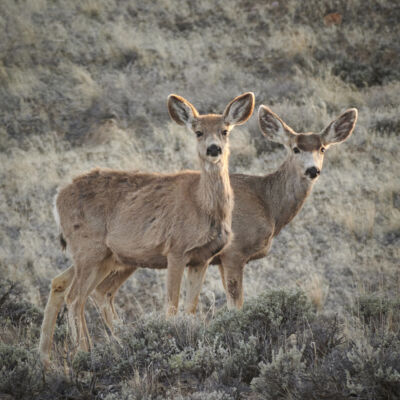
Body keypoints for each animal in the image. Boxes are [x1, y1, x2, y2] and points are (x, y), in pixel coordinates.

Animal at [39, 92, 255, 364]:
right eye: (198, 132)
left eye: (225, 131)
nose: (213, 148)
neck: (202, 206)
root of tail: (57, 198)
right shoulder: (176, 249)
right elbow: (172, 305)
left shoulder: (202, 258)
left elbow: (191, 306)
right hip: (88, 247)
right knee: (75, 296)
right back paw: (84, 353)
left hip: (103, 257)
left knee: (63, 285)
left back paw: (48, 358)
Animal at [90, 106, 356, 322]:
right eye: (296, 148)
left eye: (322, 148)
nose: (313, 170)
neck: (267, 203)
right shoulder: (233, 252)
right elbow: (235, 303)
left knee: (98, 291)